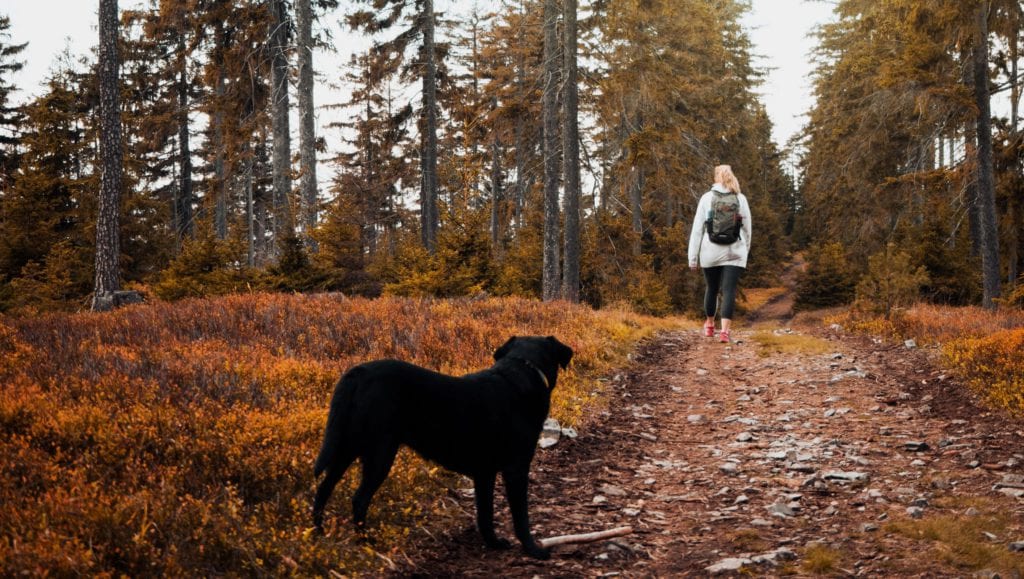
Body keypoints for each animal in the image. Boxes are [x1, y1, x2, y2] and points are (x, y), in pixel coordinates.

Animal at [311, 336, 573, 557]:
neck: (521, 373)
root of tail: (356, 373)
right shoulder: (516, 468)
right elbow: (521, 516)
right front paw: (533, 549)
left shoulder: (484, 474)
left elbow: (485, 514)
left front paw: (493, 543)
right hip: (379, 452)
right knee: (359, 499)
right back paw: (365, 542)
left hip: (345, 447)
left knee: (323, 488)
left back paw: (318, 534)